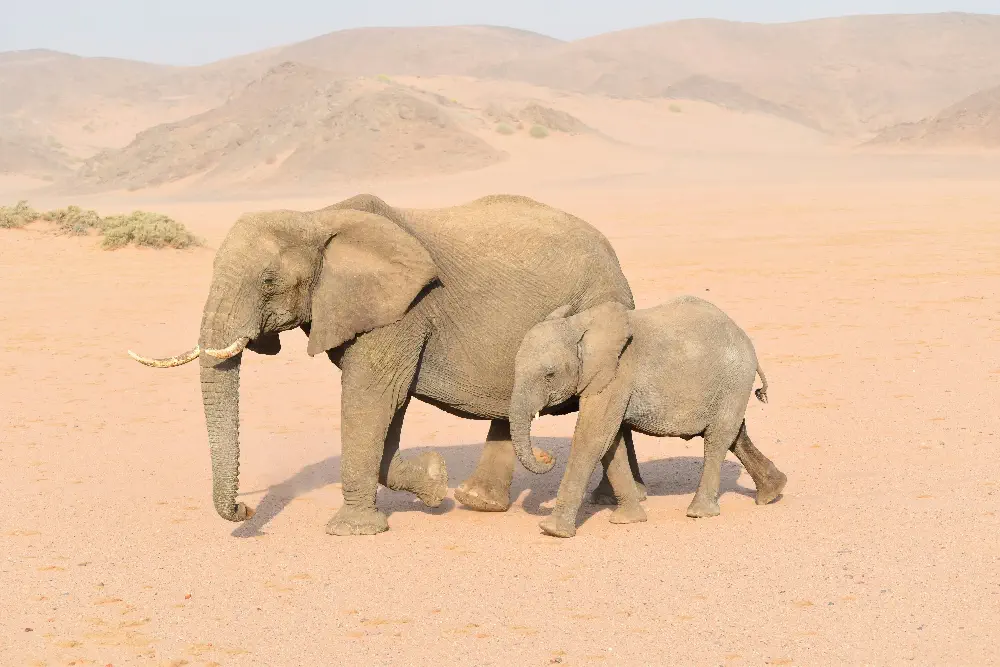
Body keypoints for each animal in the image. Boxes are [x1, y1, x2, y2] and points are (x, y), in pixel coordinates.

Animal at [127, 193, 647, 535]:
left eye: (269, 280)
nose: (246, 512)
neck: (317, 218)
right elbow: (385, 410)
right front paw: (434, 482)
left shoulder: (402, 310)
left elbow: (372, 396)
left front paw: (353, 530)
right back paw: (481, 502)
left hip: (599, 301)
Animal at [508, 296, 787, 538]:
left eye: (549, 375)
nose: (547, 456)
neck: (579, 325)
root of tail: (745, 338)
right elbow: (611, 442)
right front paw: (628, 520)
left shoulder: (617, 374)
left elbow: (593, 438)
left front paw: (553, 531)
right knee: (735, 435)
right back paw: (772, 493)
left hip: (734, 379)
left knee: (717, 440)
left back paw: (699, 513)